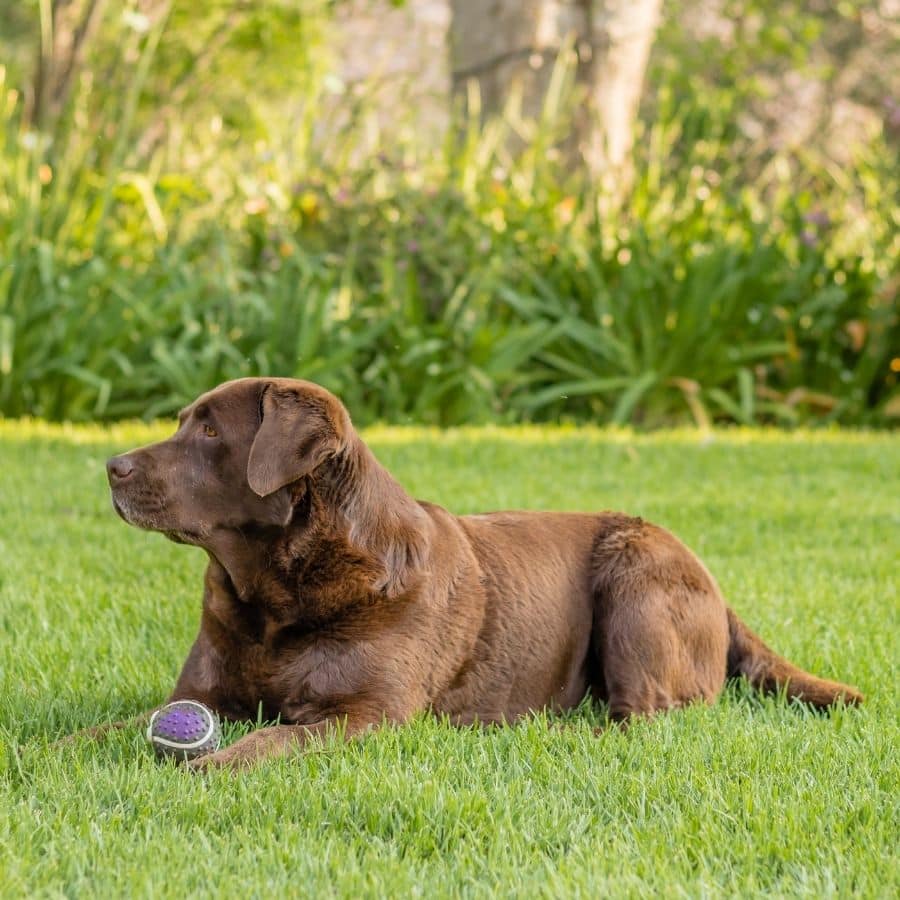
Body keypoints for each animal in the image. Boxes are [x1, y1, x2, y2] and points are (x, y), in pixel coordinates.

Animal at [96, 378, 856, 768]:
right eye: (182, 422)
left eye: (209, 433)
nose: (111, 466)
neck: (275, 596)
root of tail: (718, 591)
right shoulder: (203, 691)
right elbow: (101, 730)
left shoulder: (367, 714)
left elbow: (267, 740)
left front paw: (206, 765)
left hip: (636, 577)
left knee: (641, 716)